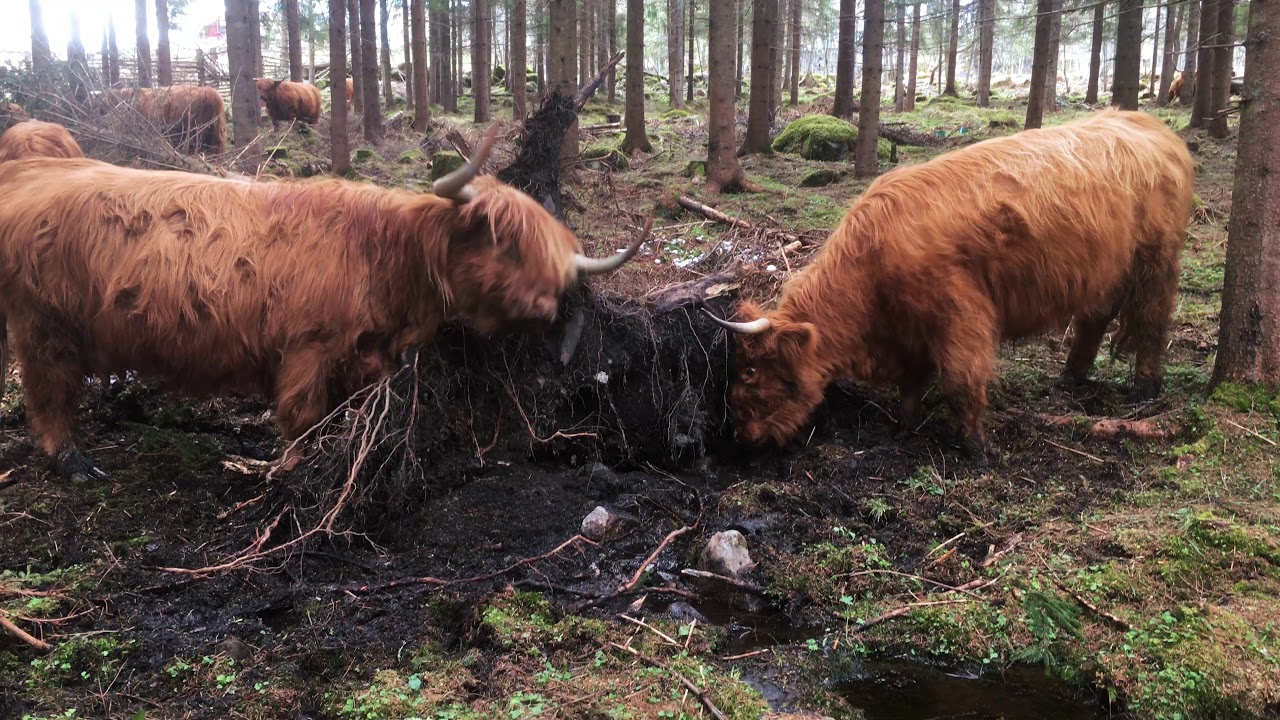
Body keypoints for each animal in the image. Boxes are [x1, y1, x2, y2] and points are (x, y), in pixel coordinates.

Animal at [0, 126, 643, 480]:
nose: (544, 307)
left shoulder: (364, 356)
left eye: (554, 266)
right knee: (48, 392)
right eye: (504, 242)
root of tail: (30, 171)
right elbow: (300, 419)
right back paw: (74, 463)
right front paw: (286, 471)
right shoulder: (306, 350)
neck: (385, 257)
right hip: (41, 323)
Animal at [703, 110, 1195, 466]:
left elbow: (961, 382)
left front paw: (978, 449)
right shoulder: (908, 333)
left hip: (1156, 260)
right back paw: (1070, 376)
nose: (741, 437)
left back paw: (1145, 387)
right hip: (1102, 269)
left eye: (750, 372)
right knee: (1095, 318)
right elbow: (911, 383)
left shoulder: (961, 316)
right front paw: (905, 427)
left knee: (1153, 319)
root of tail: (1152, 126)